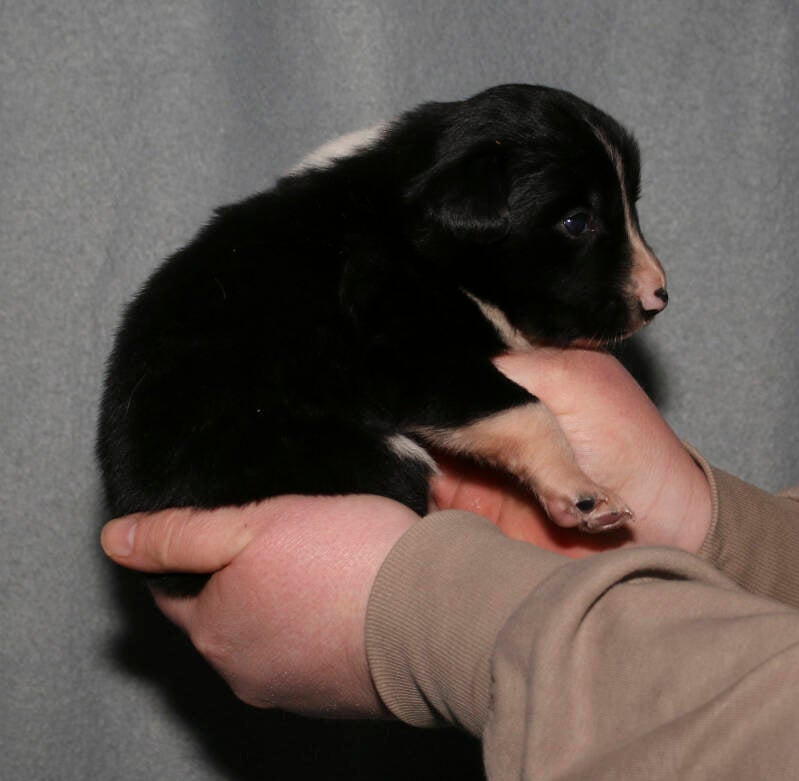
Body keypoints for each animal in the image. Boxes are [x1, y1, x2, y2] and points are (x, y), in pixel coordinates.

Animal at [98, 84, 667, 555]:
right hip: (357, 454)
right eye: (576, 222)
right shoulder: (406, 347)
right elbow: (526, 409)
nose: (659, 298)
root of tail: (129, 496)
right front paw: (584, 492)